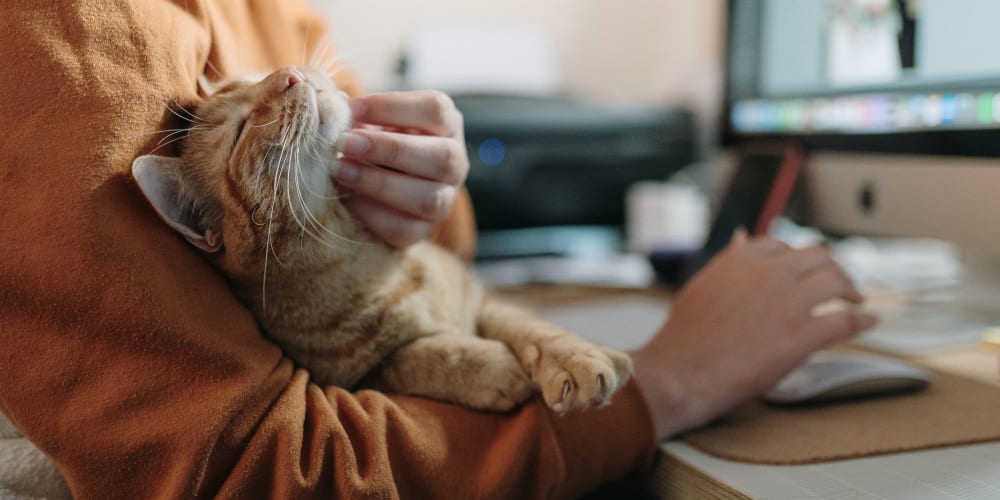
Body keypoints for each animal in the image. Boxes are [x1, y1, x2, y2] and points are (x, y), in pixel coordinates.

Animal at [131, 65, 632, 410]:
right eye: (238, 132)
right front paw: (494, 368)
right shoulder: (354, 379)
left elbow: (532, 327)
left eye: (260, 74)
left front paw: (577, 359)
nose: (291, 73)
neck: (370, 266)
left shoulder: (482, 299)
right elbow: (420, 357)